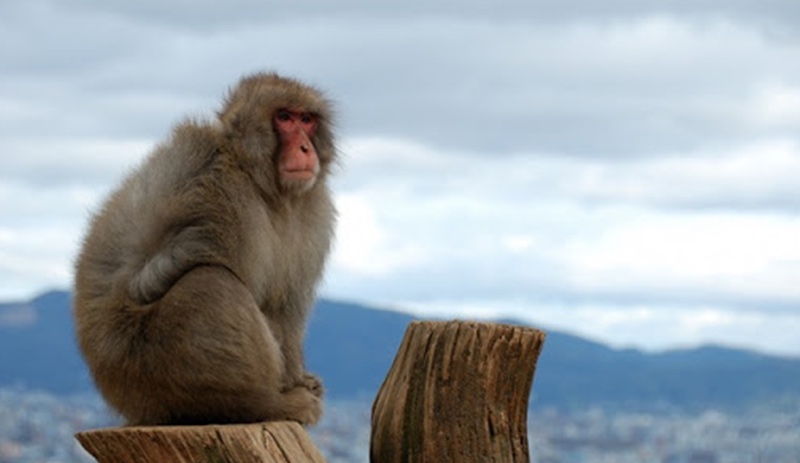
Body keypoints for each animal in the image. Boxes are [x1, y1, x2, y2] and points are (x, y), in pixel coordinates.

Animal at [72, 72, 338, 428]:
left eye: (306, 120)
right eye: (284, 117)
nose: (306, 147)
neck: (264, 186)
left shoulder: (313, 213)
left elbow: (285, 306)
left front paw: (300, 378)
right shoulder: (224, 195)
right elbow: (152, 277)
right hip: (149, 372)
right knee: (211, 282)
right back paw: (264, 404)